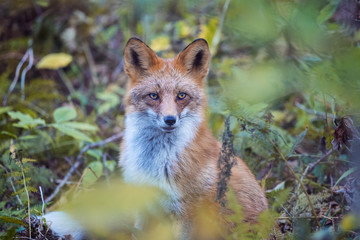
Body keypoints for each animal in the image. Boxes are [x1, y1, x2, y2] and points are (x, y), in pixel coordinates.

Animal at [43, 38, 268, 240]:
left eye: (181, 95)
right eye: (153, 96)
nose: (170, 120)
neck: (155, 163)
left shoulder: (184, 213)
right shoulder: (142, 204)